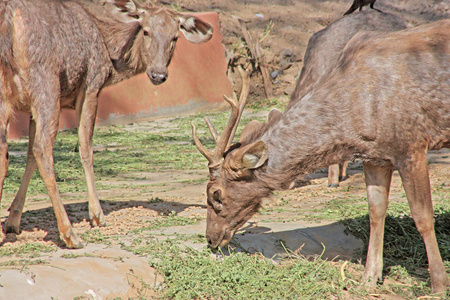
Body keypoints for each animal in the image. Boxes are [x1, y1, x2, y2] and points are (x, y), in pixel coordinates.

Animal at [0, 0, 214, 248]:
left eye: (175, 37)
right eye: (146, 31)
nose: (158, 75)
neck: (110, 60)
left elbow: (29, 157)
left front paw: (13, 220)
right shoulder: (91, 85)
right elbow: (85, 148)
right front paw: (97, 215)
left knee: (8, 152)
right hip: (46, 81)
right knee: (43, 149)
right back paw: (70, 234)